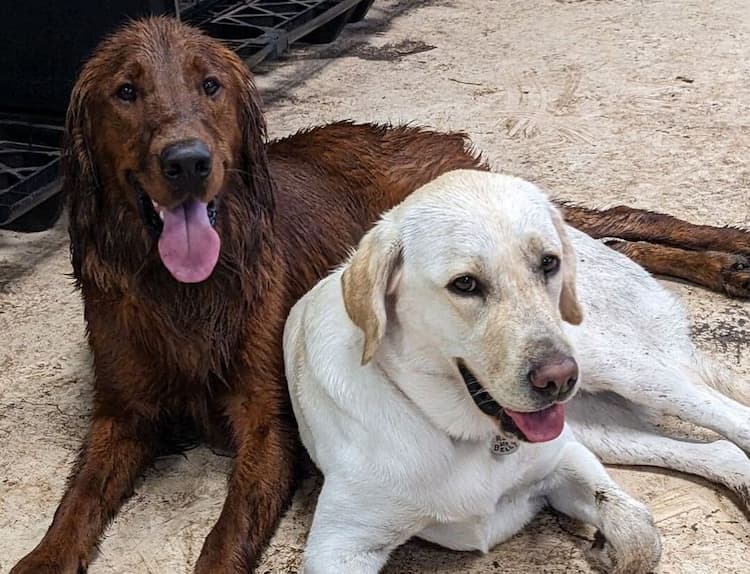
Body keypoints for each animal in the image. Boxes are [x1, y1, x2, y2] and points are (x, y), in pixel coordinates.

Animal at [284, 171, 750, 574]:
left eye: (548, 263)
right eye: (465, 284)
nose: (559, 379)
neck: (467, 435)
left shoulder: (566, 458)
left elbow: (639, 536)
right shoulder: (338, 547)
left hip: (624, 368)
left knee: (734, 419)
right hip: (604, 430)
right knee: (720, 452)